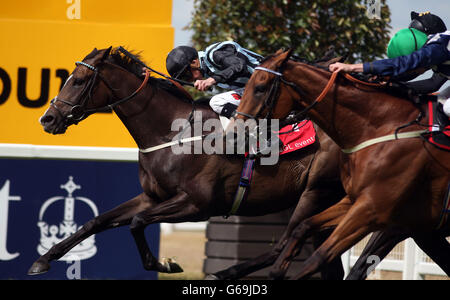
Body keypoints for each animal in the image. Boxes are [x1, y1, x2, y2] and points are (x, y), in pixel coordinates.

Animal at [28, 47, 346, 278]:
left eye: (79, 80)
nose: (48, 119)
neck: (172, 133)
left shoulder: (197, 204)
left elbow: (137, 222)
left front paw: (165, 264)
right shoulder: (152, 197)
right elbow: (96, 221)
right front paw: (43, 259)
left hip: (315, 191)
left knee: (284, 243)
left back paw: (223, 273)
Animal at [230, 48, 448, 278]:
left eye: (260, 88)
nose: (235, 132)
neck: (382, 127)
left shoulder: (371, 210)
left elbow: (316, 256)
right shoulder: (356, 202)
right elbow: (302, 230)